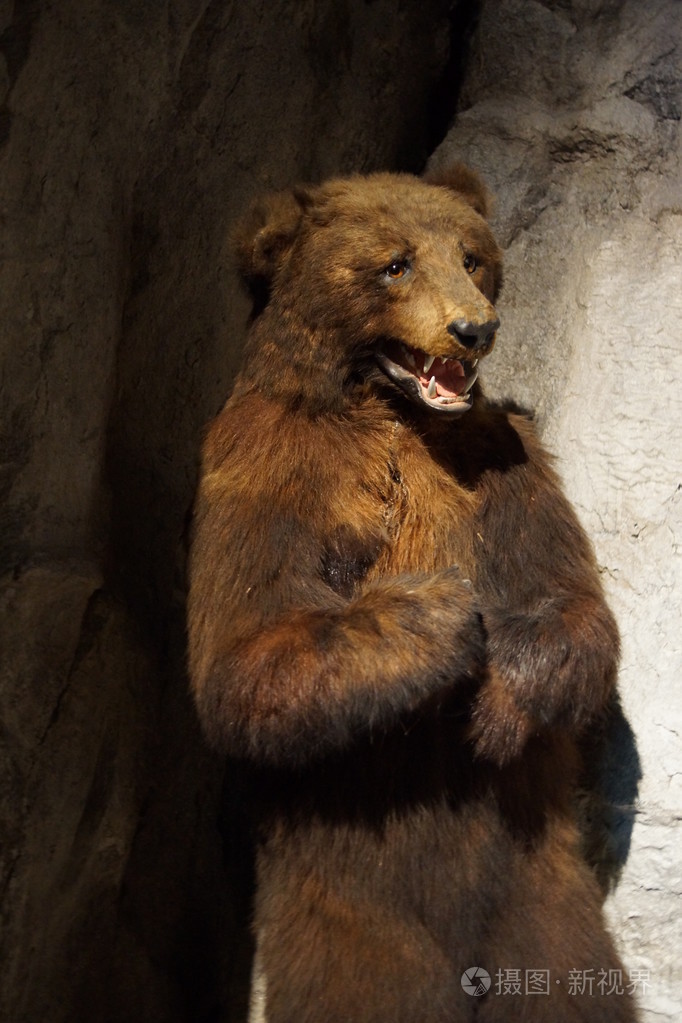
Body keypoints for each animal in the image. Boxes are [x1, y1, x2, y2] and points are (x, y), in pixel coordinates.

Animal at [187, 165, 638, 1022]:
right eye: (395, 263)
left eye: (469, 255)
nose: (474, 329)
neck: (388, 406)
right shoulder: (264, 465)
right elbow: (244, 657)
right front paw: (442, 614)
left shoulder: (507, 464)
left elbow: (577, 610)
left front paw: (498, 702)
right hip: (352, 906)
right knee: (365, 983)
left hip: (542, 890)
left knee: (568, 979)